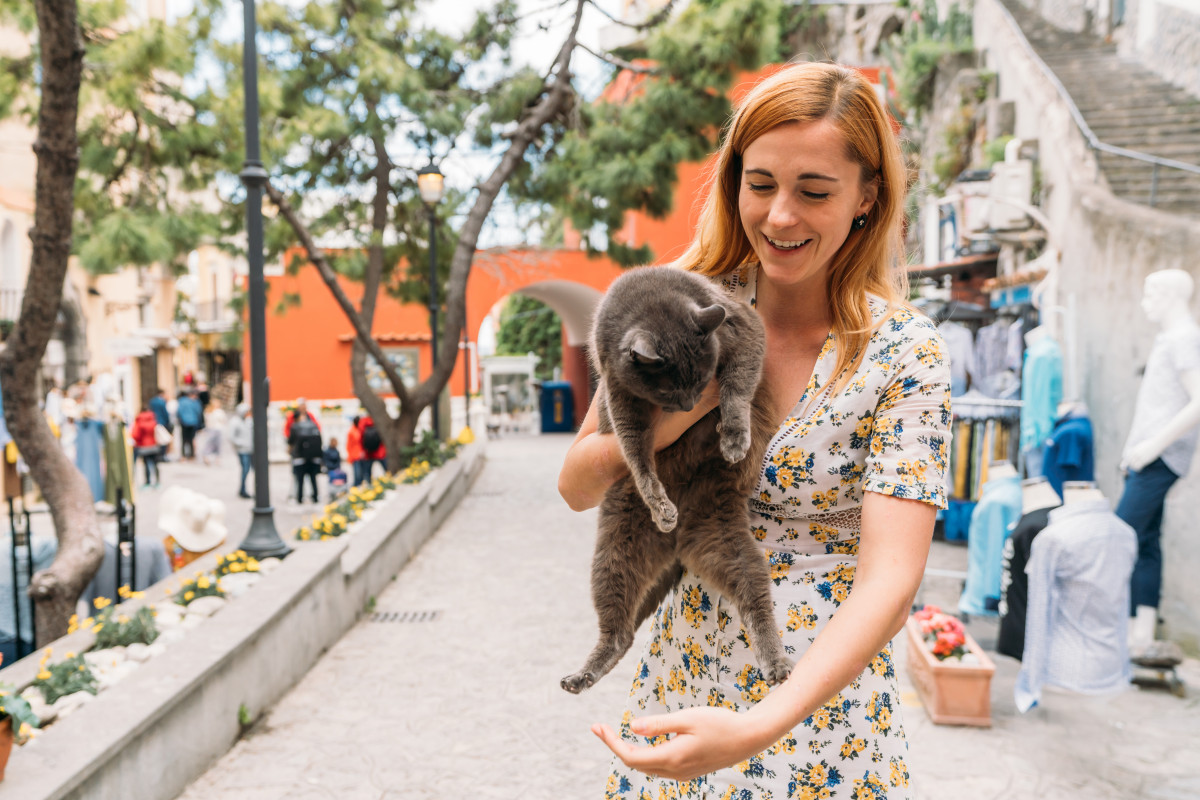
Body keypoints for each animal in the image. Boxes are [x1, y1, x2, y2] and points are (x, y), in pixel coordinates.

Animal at [556, 267, 792, 695]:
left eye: (701, 380)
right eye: (667, 387)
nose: (688, 405)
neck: (651, 299)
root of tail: (678, 547)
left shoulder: (743, 328)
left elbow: (737, 385)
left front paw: (735, 436)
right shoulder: (620, 390)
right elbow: (633, 447)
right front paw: (657, 500)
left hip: (725, 537)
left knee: (755, 600)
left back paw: (777, 663)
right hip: (613, 554)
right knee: (619, 633)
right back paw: (583, 673)